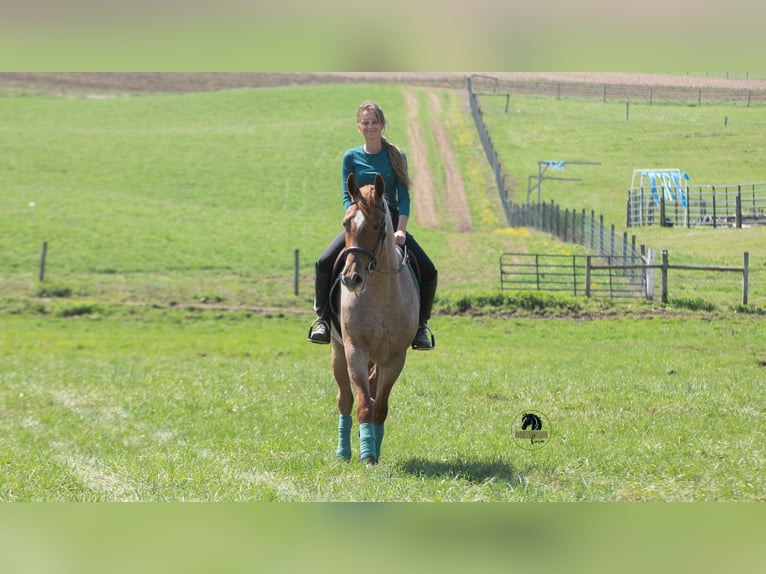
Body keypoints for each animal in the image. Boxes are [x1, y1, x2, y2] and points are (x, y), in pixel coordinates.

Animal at [330, 173, 419, 465]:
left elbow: (379, 406)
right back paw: (344, 452)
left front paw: (373, 451)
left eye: (379, 224)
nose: (351, 278)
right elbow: (362, 404)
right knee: (345, 399)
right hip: (338, 353)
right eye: (346, 222)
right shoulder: (354, 351)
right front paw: (367, 456)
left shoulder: (395, 358)